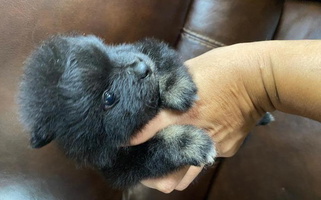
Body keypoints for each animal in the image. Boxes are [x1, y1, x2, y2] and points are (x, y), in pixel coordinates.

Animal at [18, 34, 218, 189]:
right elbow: (153, 150)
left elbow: (157, 52)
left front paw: (175, 87)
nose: (141, 68)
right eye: (109, 98)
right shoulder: (119, 166)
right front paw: (190, 143)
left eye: (107, 53)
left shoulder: (137, 49)